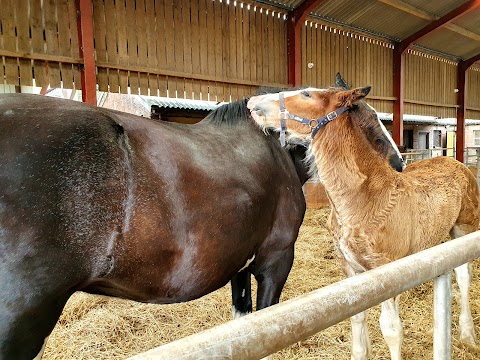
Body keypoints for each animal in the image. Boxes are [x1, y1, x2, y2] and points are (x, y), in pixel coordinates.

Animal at [248, 86, 480, 360]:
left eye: (307, 94)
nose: (253, 102)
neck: (363, 197)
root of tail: (456, 162)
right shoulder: (350, 269)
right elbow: (357, 317)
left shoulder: (387, 269)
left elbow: (391, 329)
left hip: (464, 230)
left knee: (463, 277)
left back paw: (468, 336)